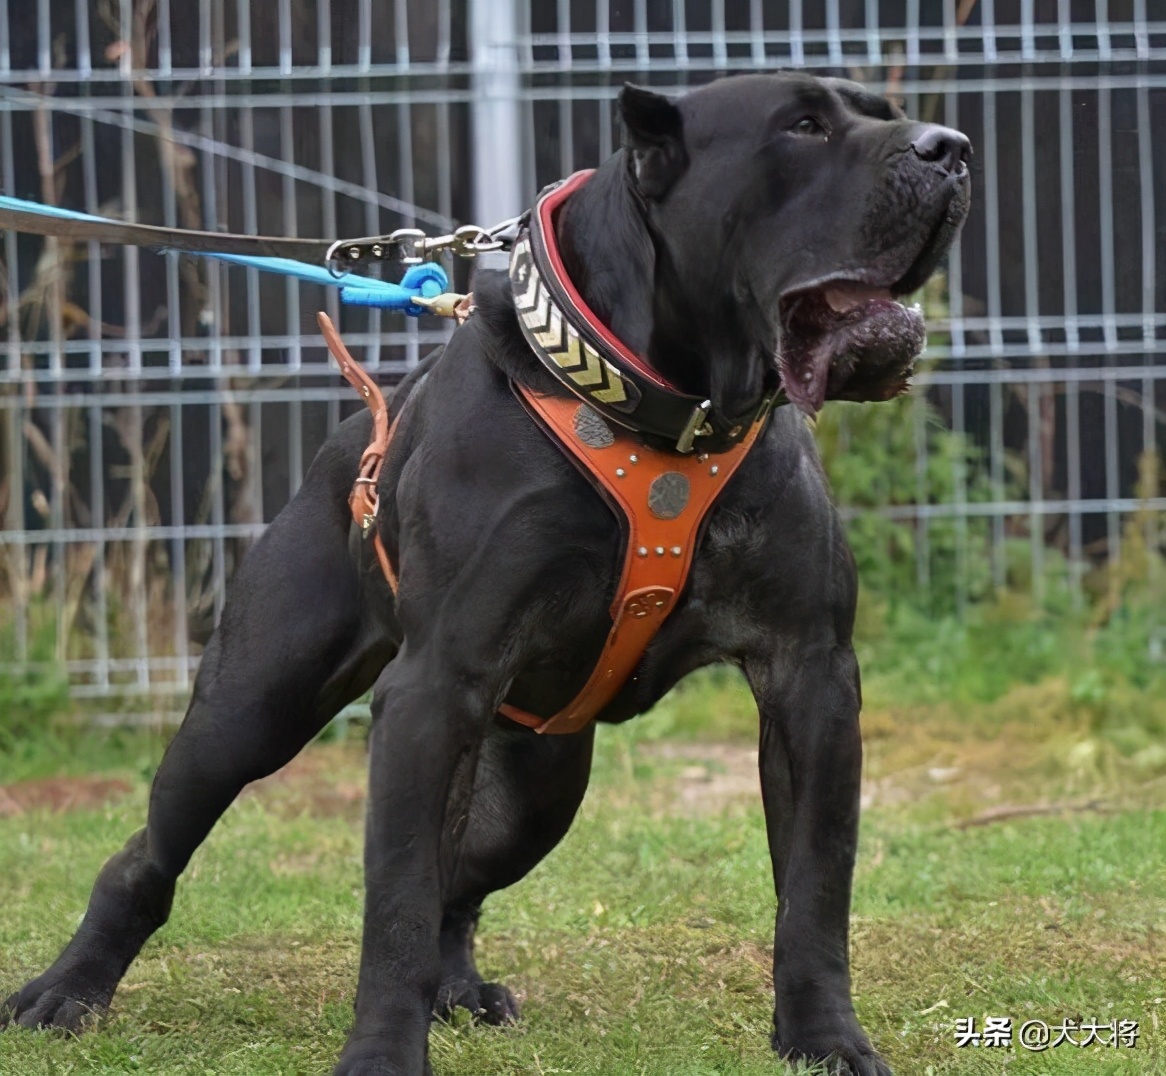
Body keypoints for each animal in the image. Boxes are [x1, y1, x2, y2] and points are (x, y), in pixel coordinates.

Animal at [4, 71, 970, 1072]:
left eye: (881, 112)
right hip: (247, 716)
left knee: (459, 882)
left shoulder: (810, 677)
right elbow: (394, 901)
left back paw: (457, 989)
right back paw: (67, 991)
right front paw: (381, 1056)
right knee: (152, 854)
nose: (951, 147)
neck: (672, 409)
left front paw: (824, 1037)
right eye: (804, 125)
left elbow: (815, 886)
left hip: (540, 786)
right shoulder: (436, 689)